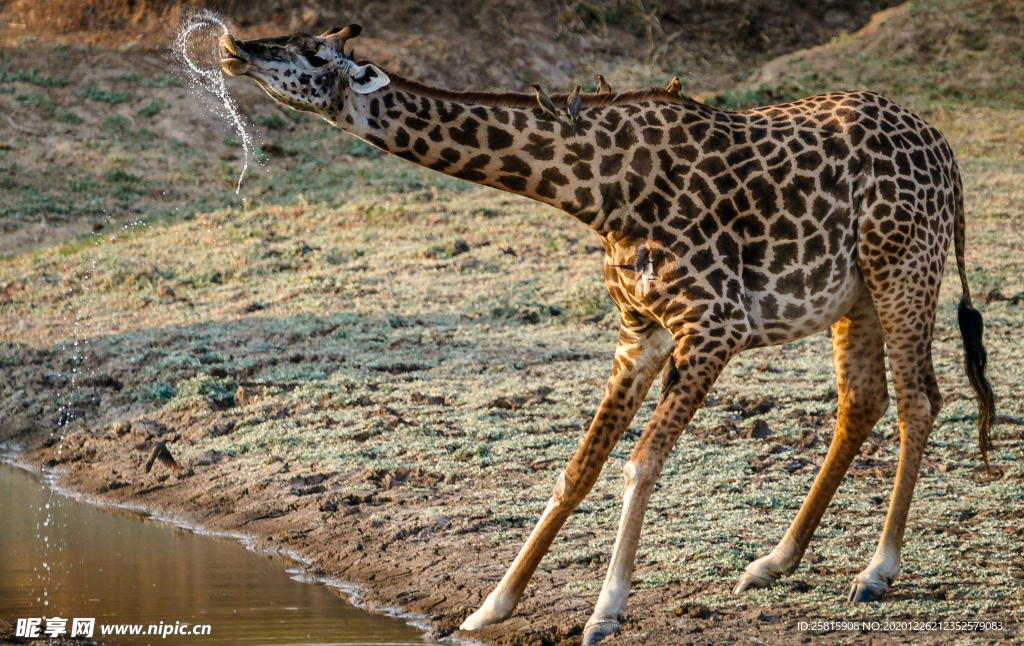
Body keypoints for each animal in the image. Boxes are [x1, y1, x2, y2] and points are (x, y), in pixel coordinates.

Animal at [220, 24, 995, 642]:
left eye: (311, 53)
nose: (233, 47)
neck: (599, 191)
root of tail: (949, 156)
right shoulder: (640, 331)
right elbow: (578, 468)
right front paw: (491, 605)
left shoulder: (716, 324)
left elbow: (640, 462)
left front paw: (605, 612)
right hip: (853, 293)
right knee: (862, 402)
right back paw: (772, 563)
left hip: (904, 267)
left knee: (919, 398)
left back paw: (876, 572)